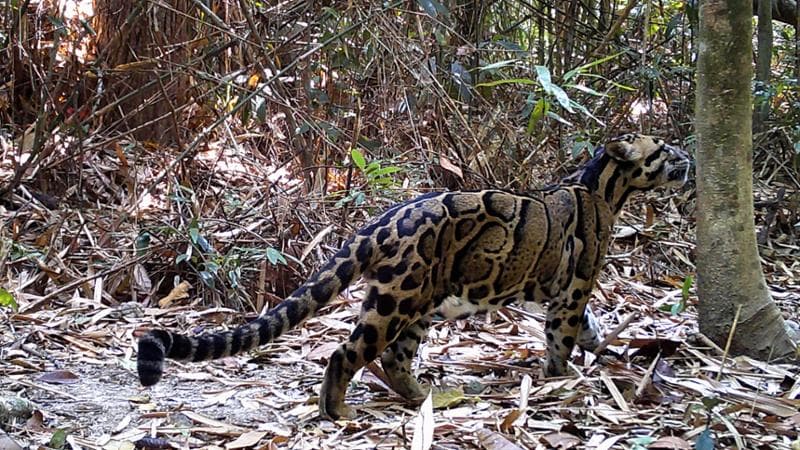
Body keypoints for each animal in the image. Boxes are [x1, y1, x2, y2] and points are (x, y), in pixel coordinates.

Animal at [137, 133, 691, 420]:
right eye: (663, 151)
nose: (688, 157)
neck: (604, 185)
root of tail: (378, 223)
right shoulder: (574, 286)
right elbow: (563, 335)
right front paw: (560, 379)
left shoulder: (558, 291)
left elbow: (589, 328)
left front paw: (603, 353)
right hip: (397, 299)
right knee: (346, 353)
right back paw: (338, 413)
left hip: (419, 301)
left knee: (395, 358)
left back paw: (423, 396)